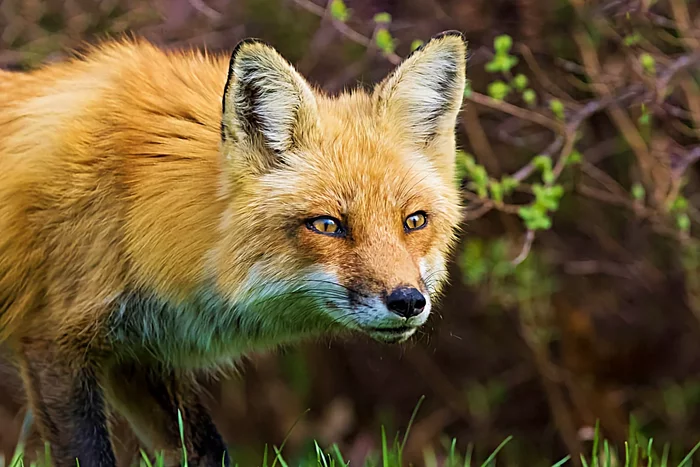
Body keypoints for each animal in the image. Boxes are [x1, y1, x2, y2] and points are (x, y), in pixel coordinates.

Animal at [0, 30, 467, 466]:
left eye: (414, 221)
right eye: (327, 225)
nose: (408, 301)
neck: (135, 206)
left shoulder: (138, 356)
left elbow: (207, 448)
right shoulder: (52, 340)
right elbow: (90, 454)